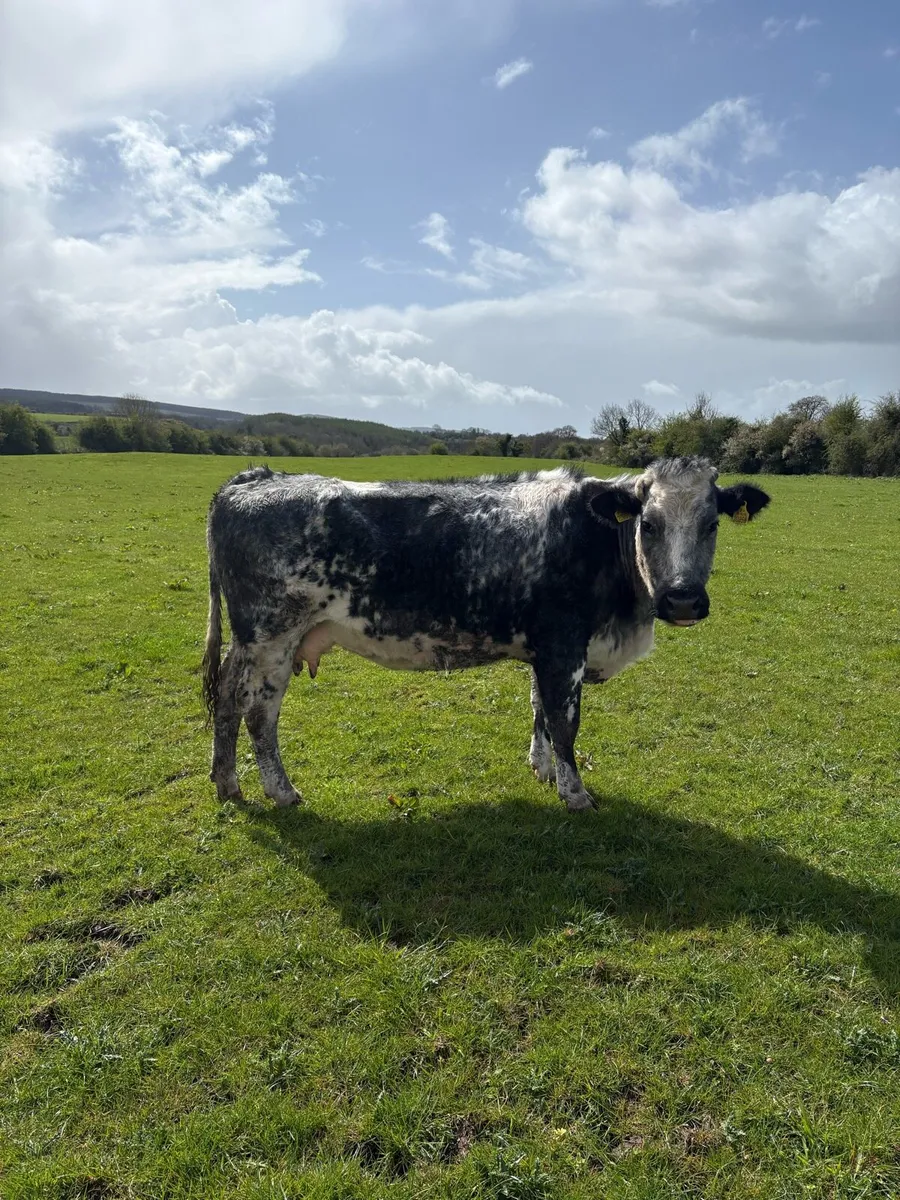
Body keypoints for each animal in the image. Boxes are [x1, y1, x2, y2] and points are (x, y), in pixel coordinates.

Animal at [202, 457, 770, 812]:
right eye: (648, 524)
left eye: (712, 524)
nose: (682, 600)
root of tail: (253, 478)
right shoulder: (565, 645)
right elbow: (566, 723)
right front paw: (575, 794)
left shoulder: (545, 650)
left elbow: (540, 710)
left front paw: (542, 769)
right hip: (269, 637)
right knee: (252, 710)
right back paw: (267, 790)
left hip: (264, 641)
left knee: (235, 702)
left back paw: (240, 786)